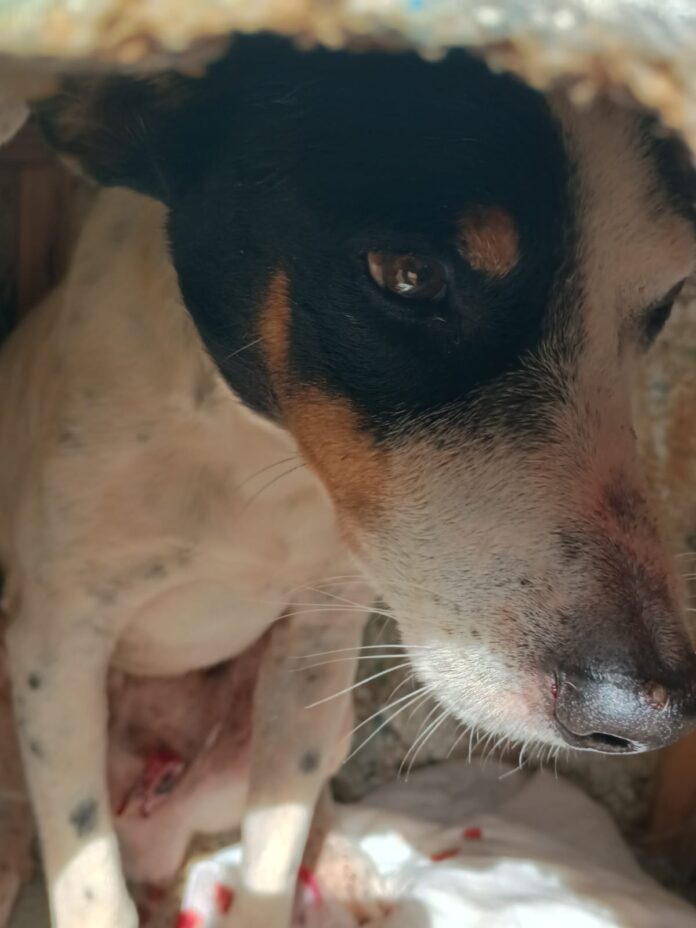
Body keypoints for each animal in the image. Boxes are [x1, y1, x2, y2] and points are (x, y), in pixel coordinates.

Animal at [2, 33, 696, 928]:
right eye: (407, 274)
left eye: (666, 301)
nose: (646, 718)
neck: (256, 453)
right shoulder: (58, 652)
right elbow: (89, 881)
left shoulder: (315, 644)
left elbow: (271, 856)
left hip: (317, 710)